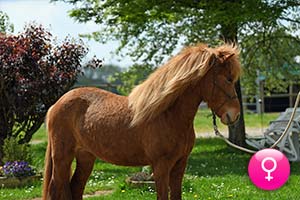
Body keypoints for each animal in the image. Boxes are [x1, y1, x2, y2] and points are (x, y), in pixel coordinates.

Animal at [41, 43, 241, 200]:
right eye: (228, 79)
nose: (235, 115)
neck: (168, 115)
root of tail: (55, 105)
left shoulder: (180, 165)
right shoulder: (160, 166)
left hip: (85, 157)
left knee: (76, 188)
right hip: (63, 157)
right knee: (59, 188)